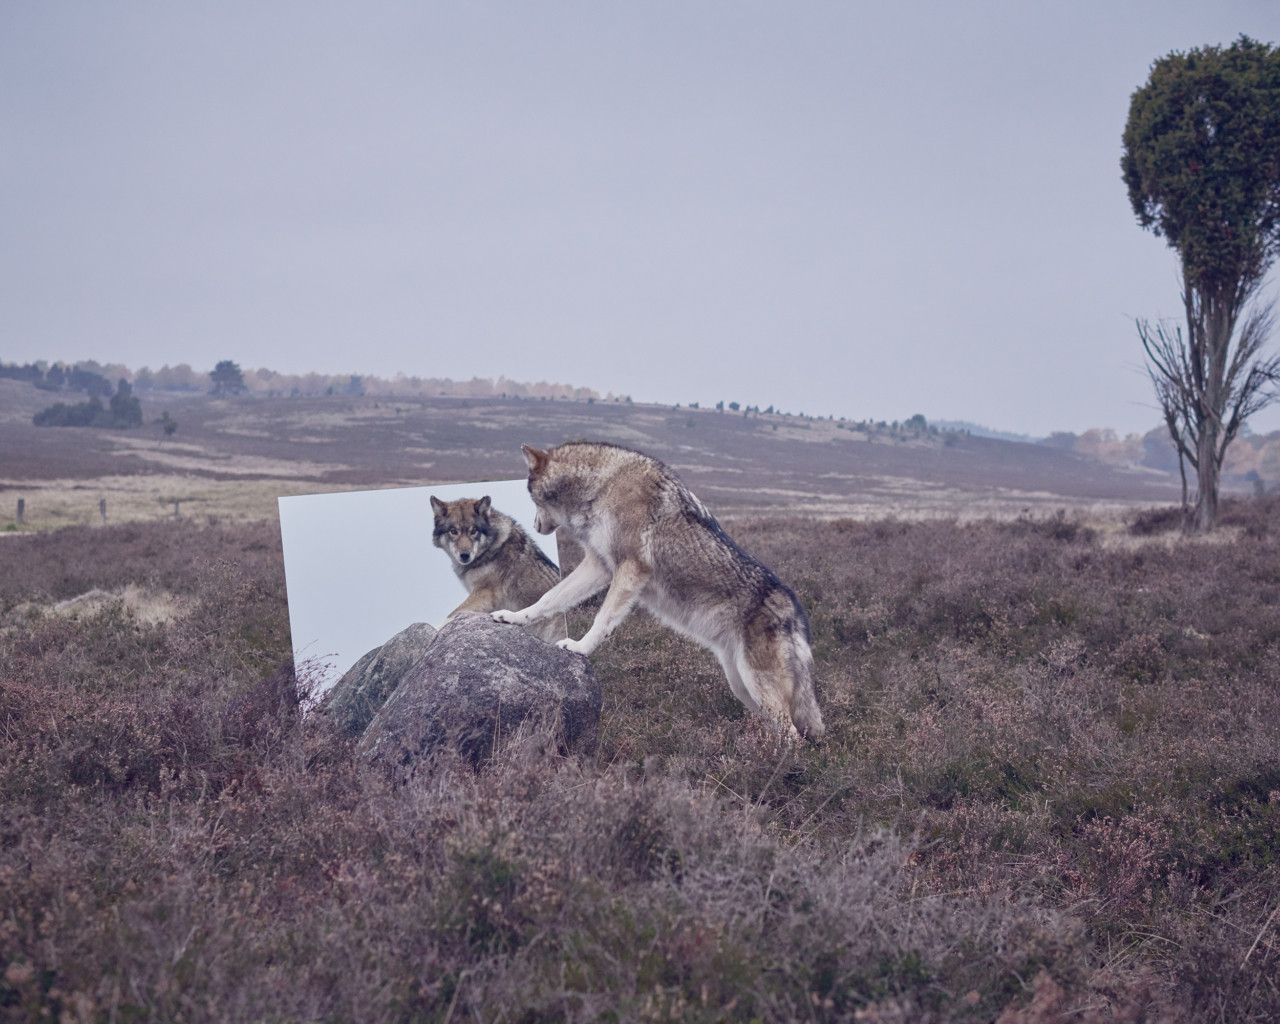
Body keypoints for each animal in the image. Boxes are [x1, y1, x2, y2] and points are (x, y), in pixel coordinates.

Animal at [430, 495, 567, 643]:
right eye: (454, 532)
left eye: (473, 531)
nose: (465, 555)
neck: (490, 549)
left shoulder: (485, 593)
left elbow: (451, 615)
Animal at [490, 443, 825, 741]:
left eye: (531, 499)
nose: (533, 525)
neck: (602, 485)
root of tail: (795, 609)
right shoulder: (599, 565)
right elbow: (548, 599)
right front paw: (514, 617)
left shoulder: (630, 568)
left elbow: (602, 619)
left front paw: (580, 648)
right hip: (741, 685)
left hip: (756, 685)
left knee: (794, 736)